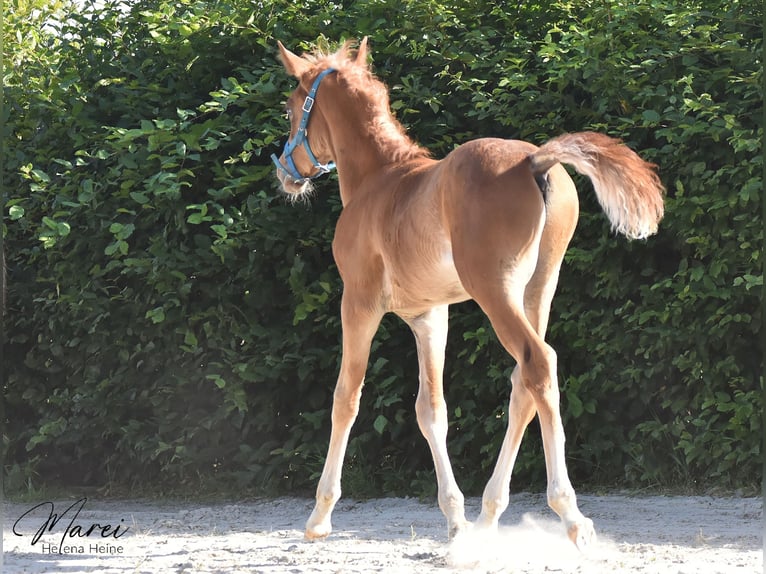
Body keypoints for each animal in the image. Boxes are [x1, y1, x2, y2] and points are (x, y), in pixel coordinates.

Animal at [271, 38, 664, 549]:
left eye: (291, 107)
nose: (286, 172)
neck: (381, 179)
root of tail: (535, 162)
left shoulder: (357, 304)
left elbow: (346, 397)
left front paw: (319, 516)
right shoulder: (430, 317)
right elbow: (431, 410)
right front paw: (455, 518)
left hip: (494, 292)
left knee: (539, 363)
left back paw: (570, 514)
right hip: (538, 290)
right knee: (524, 382)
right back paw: (488, 516)